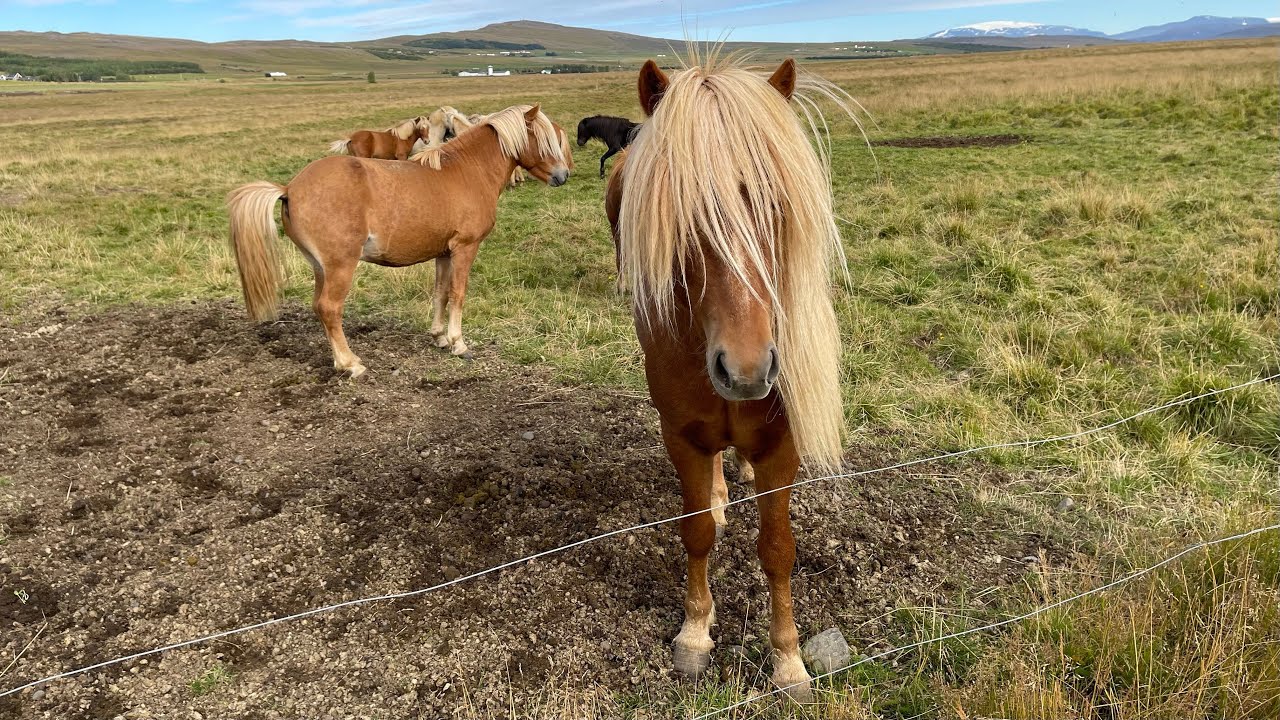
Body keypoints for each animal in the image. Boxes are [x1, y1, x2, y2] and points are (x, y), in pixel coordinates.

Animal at [228, 105, 571, 377]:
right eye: (544, 139)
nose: (562, 175)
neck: (466, 171)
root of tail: (289, 188)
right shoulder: (465, 248)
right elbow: (458, 294)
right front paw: (458, 343)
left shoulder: (443, 252)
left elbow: (441, 293)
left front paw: (439, 336)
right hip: (340, 266)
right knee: (329, 308)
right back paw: (351, 364)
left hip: (320, 267)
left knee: (318, 307)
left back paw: (340, 361)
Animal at [606, 57, 848, 702]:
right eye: (678, 210)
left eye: (775, 202)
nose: (745, 370)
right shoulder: (682, 435)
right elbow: (695, 532)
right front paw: (695, 633)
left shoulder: (781, 444)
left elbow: (778, 549)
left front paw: (789, 661)